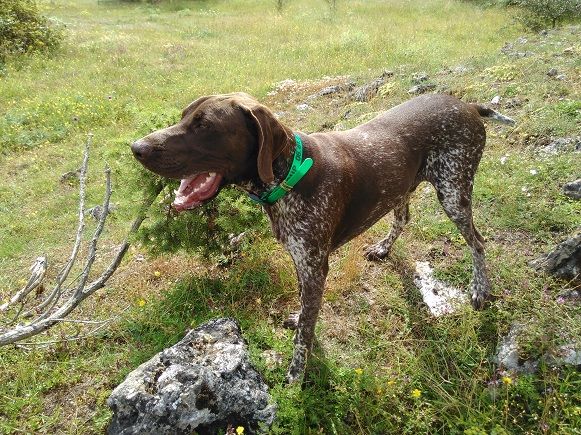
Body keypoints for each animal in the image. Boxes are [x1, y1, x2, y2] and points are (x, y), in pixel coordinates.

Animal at [130, 91, 512, 382]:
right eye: (183, 116)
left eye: (205, 125)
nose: (137, 147)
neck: (289, 176)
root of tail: (467, 105)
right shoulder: (303, 262)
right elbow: (304, 309)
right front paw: (298, 317)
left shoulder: (314, 266)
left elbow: (305, 334)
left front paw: (296, 374)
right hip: (403, 187)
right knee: (403, 217)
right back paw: (383, 248)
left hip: (454, 192)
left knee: (478, 243)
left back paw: (480, 289)